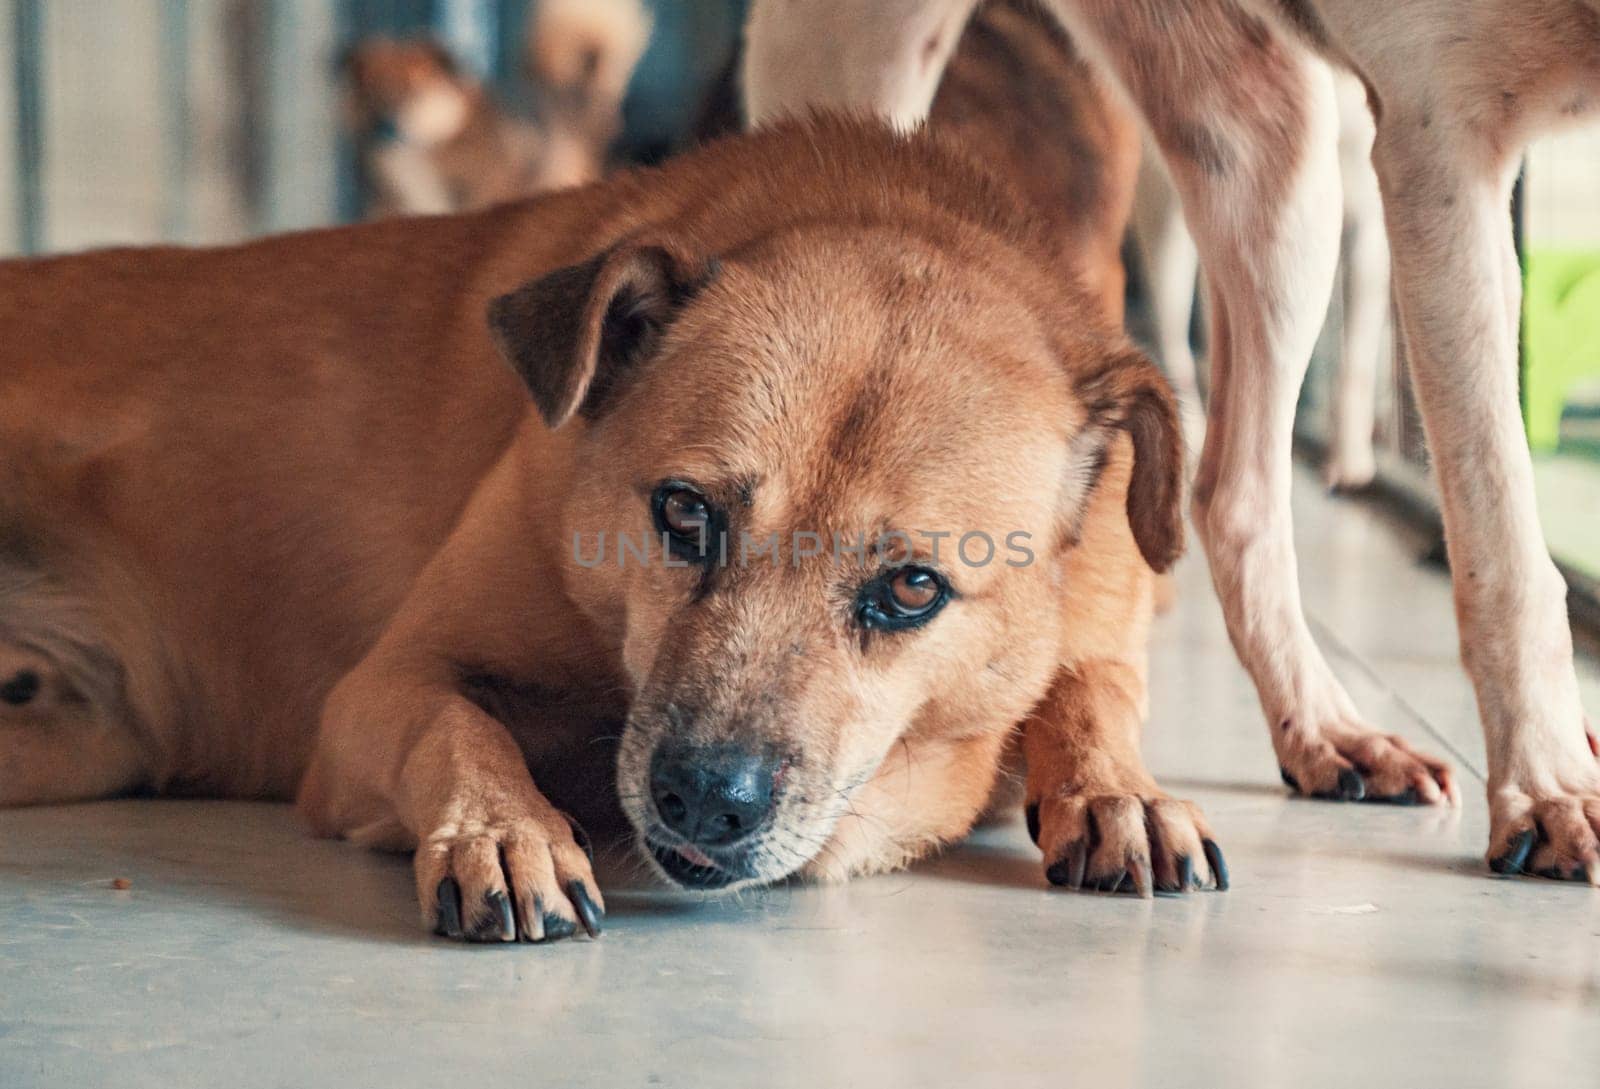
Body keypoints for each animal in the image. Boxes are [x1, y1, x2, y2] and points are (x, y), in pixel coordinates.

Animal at [3, 114, 1222, 940]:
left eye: (914, 587)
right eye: (682, 512)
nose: (705, 803)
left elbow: (1088, 687)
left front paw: (1121, 792)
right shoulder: (379, 691)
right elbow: (460, 724)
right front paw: (504, 832)